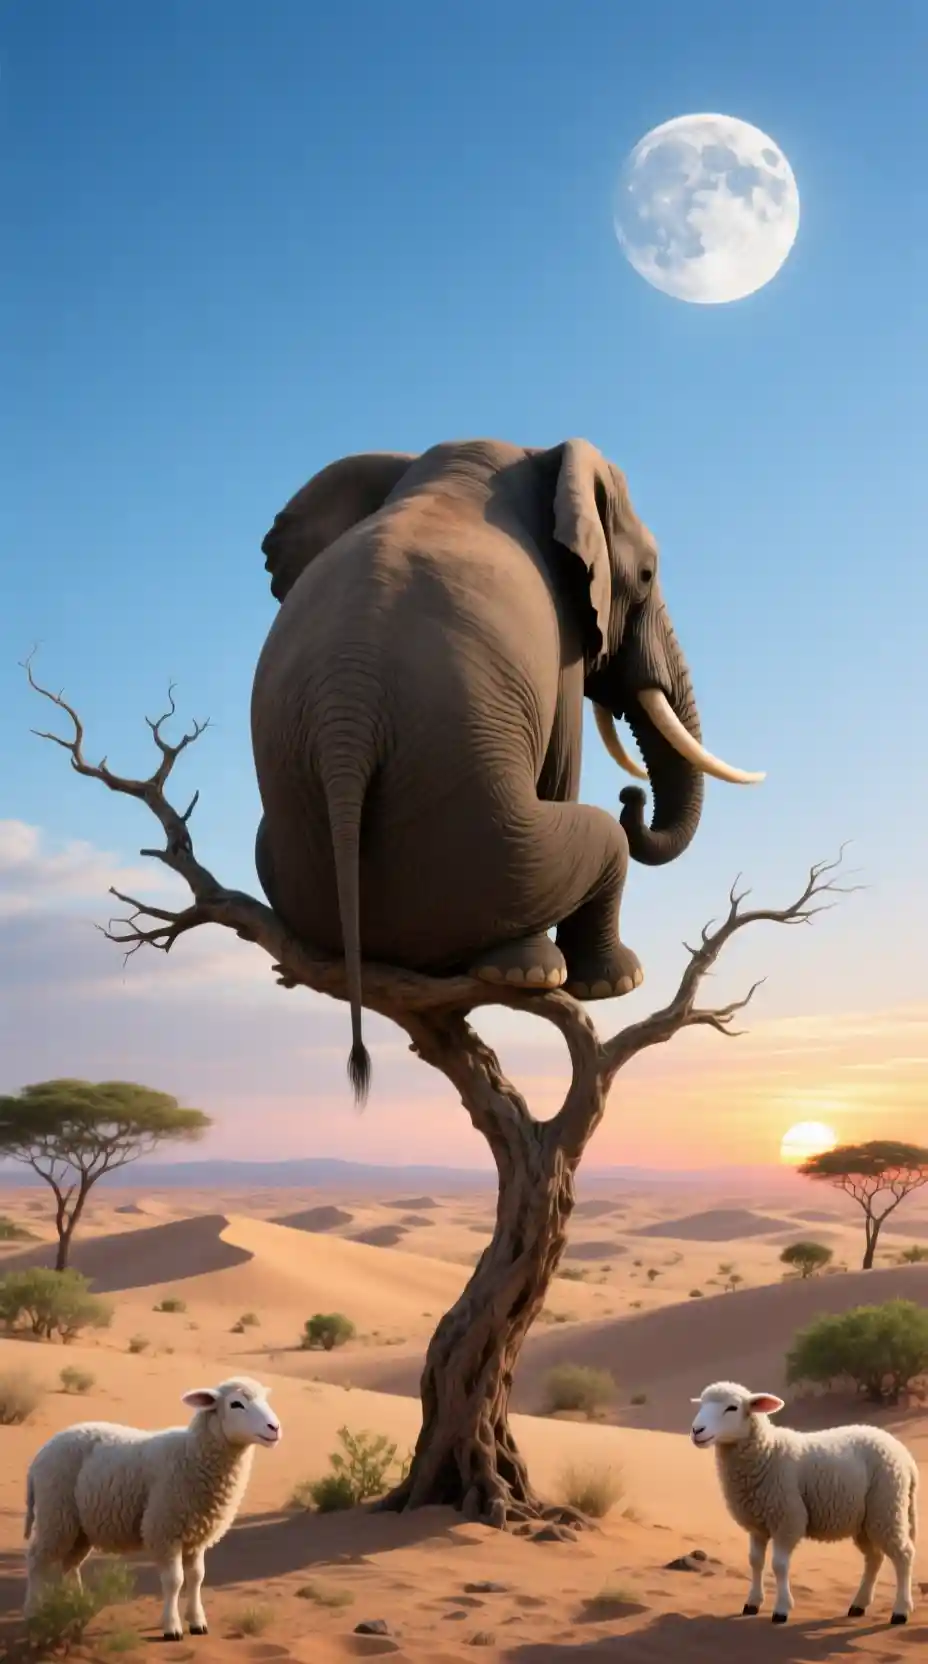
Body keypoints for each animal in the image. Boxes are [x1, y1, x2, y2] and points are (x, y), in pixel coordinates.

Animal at [251, 437, 763, 1101]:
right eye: (647, 575)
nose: (633, 795)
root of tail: (348, 722)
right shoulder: (563, 631)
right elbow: (562, 767)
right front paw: (598, 985)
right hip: (483, 838)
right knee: (599, 839)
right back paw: (548, 974)